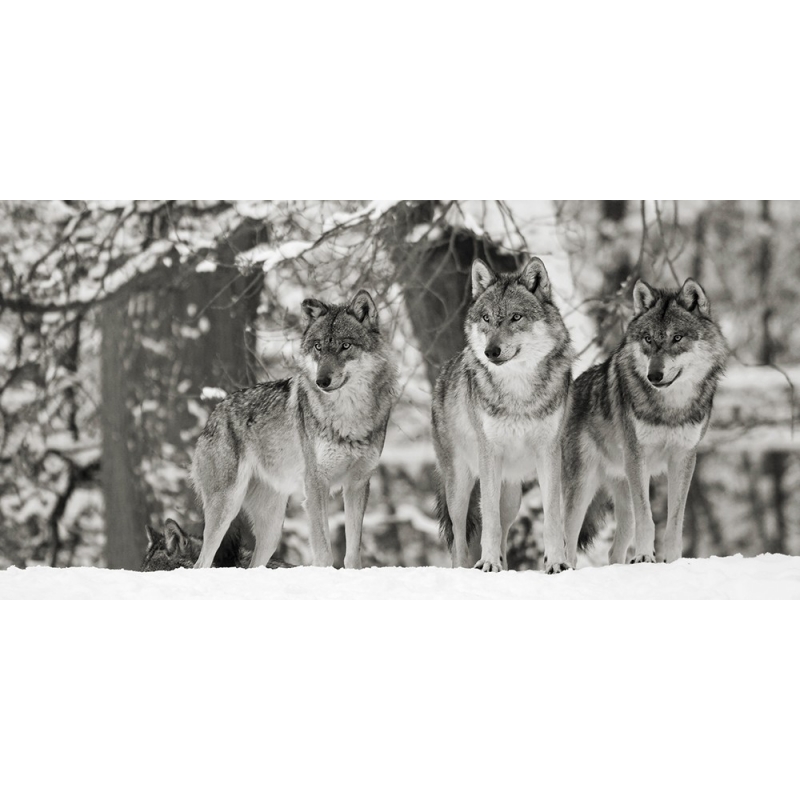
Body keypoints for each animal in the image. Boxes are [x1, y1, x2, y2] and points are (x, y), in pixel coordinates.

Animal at [191, 290, 396, 572]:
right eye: (318, 347)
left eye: (345, 346)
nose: (322, 381)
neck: (348, 416)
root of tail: (214, 414)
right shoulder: (316, 484)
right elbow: (323, 552)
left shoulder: (358, 484)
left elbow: (353, 554)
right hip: (226, 507)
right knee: (201, 562)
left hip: (272, 529)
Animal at [432, 260, 576, 572]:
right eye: (486, 318)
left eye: (515, 317)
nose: (491, 351)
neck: (518, 391)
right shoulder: (489, 454)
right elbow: (488, 522)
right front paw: (487, 563)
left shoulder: (549, 452)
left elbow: (552, 518)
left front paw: (556, 563)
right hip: (459, 488)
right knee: (459, 538)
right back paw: (466, 568)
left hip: (511, 496)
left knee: (504, 528)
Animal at [560, 278, 728, 564]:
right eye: (648, 339)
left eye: (677, 337)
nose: (654, 375)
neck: (670, 407)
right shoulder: (638, 456)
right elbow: (647, 518)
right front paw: (644, 557)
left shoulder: (683, 458)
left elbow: (675, 521)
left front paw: (672, 560)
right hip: (582, 487)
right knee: (567, 542)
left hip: (621, 489)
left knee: (614, 549)